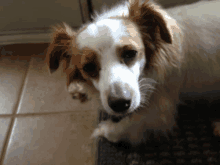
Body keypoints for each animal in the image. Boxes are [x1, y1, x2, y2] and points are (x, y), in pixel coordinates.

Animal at [45, 0, 220, 145]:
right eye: (88, 67)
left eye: (130, 53)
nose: (120, 104)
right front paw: (78, 88)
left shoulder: (161, 110)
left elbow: (129, 124)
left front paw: (104, 130)